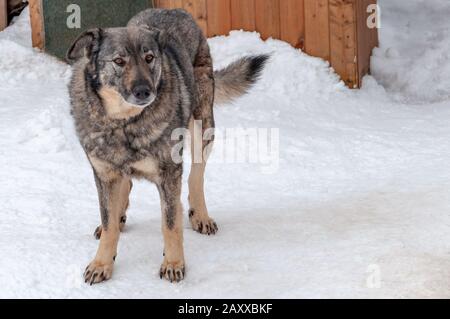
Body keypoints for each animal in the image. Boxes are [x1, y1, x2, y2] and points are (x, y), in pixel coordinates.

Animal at [67, 8, 268, 284]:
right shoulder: (104, 174)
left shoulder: (169, 173)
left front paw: (173, 263)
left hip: (202, 128)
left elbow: (170, 224)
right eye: (119, 61)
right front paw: (101, 264)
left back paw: (200, 215)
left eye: (149, 58)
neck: (124, 123)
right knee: (127, 186)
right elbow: (109, 225)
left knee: (196, 176)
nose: (144, 91)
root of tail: (176, 10)